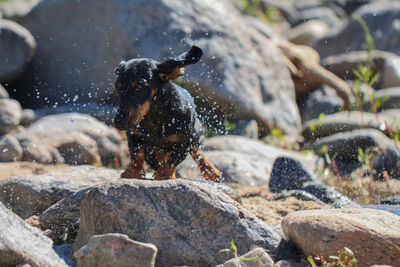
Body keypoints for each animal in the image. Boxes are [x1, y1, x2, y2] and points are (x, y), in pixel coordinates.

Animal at [113, 46, 222, 182]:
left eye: (139, 87)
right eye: (118, 87)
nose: (119, 123)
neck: (154, 117)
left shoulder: (185, 141)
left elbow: (171, 160)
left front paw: (164, 175)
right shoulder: (133, 134)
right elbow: (136, 154)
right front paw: (132, 172)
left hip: (196, 134)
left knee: (198, 153)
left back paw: (212, 172)